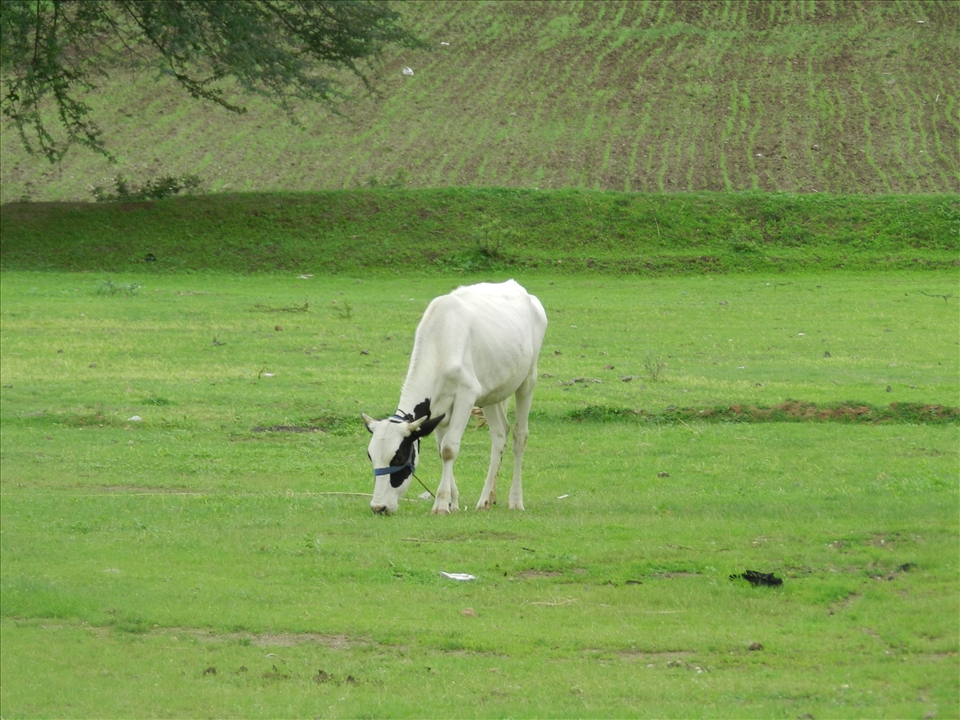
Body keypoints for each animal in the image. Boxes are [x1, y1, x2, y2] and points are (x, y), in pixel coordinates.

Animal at [361, 280, 547, 515]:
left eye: (400, 457)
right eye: (371, 456)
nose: (379, 506)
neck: (439, 343)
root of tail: (516, 286)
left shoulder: (466, 395)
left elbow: (449, 448)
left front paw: (441, 504)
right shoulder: (437, 408)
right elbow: (441, 449)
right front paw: (453, 502)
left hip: (528, 379)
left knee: (519, 436)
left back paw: (515, 500)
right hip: (491, 390)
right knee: (499, 433)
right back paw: (486, 499)